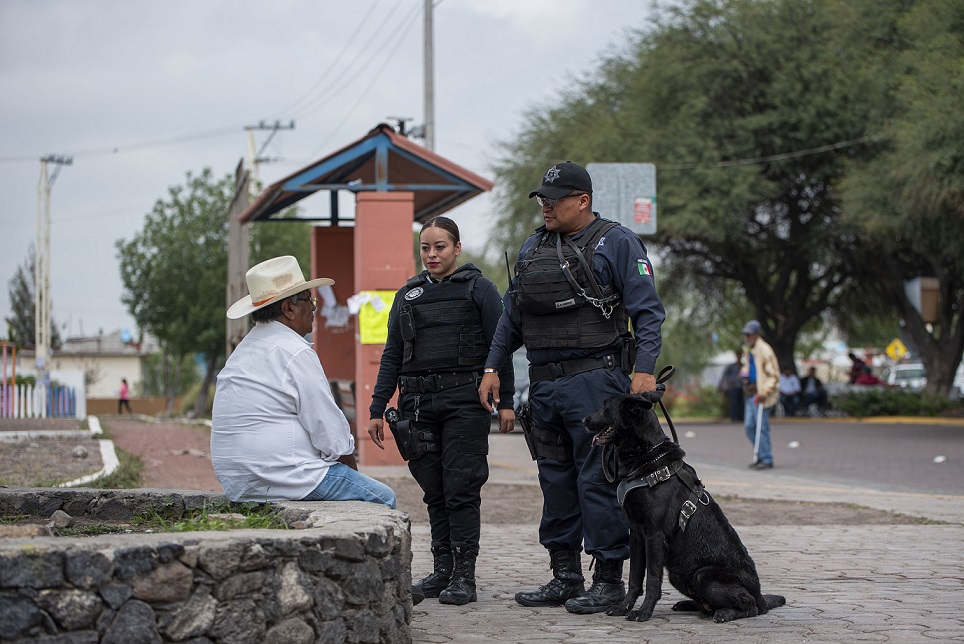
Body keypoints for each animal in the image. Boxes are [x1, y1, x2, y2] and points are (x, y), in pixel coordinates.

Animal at [584, 392, 788, 624]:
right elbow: (635, 577)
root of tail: (760, 595)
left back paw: (725, 613)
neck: (647, 459)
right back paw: (690, 605)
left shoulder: (654, 536)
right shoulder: (636, 534)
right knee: (708, 604)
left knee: (750, 606)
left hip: (703, 575)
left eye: (605, 407)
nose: (584, 420)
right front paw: (623, 607)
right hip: (678, 574)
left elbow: (652, 580)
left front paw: (643, 612)